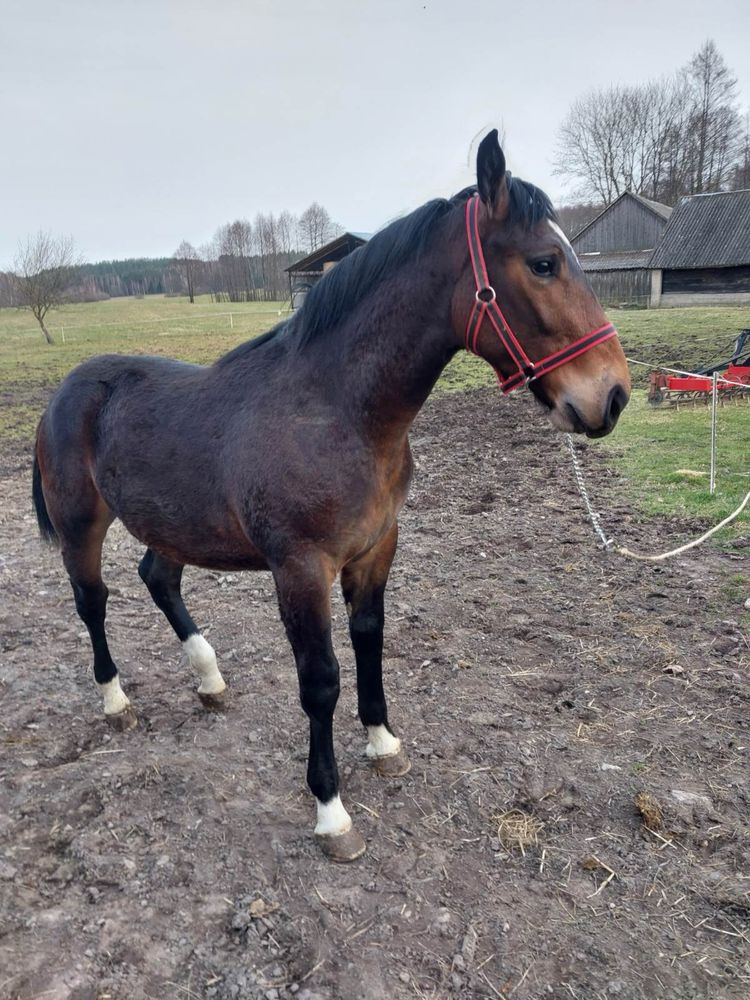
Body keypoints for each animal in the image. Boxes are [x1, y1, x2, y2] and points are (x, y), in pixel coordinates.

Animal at [32, 133, 632, 860]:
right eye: (544, 263)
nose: (612, 395)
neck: (337, 412)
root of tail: (67, 389)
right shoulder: (300, 567)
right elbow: (320, 681)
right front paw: (331, 810)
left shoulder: (375, 550)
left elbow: (369, 643)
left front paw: (384, 744)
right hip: (82, 524)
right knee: (92, 600)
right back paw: (116, 702)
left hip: (172, 523)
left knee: (158, 578)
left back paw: (210, 679)